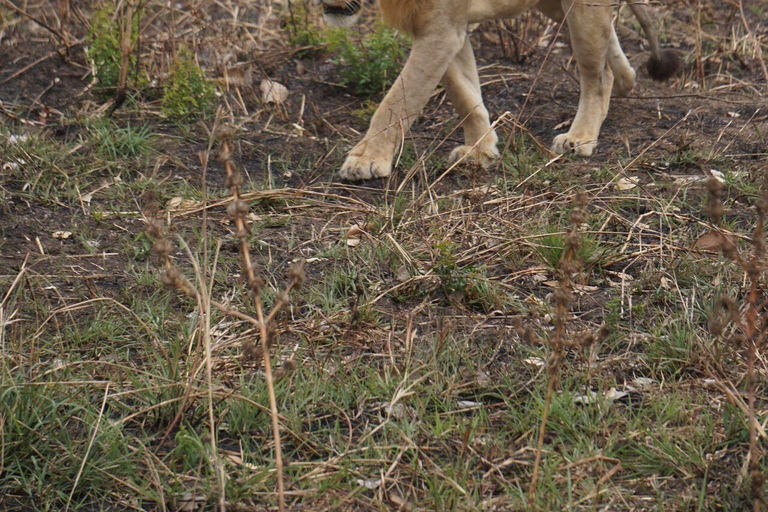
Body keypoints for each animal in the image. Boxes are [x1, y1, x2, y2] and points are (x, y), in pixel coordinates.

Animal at [320, 0, 680, 180]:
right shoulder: (444, 29)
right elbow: (464, 93)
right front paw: (480, 151)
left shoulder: (441, 30)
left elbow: (397, 100)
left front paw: (367, 159)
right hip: (555, 5)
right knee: (610, 42)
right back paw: (626, 80)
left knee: (597, 74)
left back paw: (580, 137)